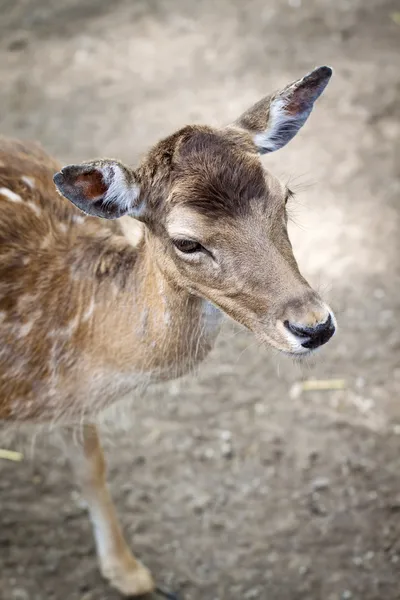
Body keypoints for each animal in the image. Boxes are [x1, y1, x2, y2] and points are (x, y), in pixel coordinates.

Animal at [0, 67, 336, 596]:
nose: (314, 325)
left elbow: (91, 467)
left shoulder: (73, 405)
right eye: (187, 242)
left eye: (286, 197)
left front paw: (129, 573)